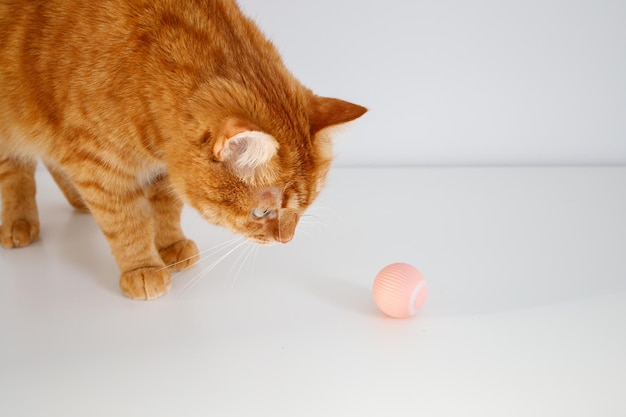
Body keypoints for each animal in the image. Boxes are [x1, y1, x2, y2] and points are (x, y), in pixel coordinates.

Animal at [0, 0, 366, 300]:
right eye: (262, 213)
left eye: (305, 207)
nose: (286, 240)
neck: (142, 71)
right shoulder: (98, 165)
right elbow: (126, 220)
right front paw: (143, 268)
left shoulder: (163, 169)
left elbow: (165, 208)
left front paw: (171, 245)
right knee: (17, 171)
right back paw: (19, 221)